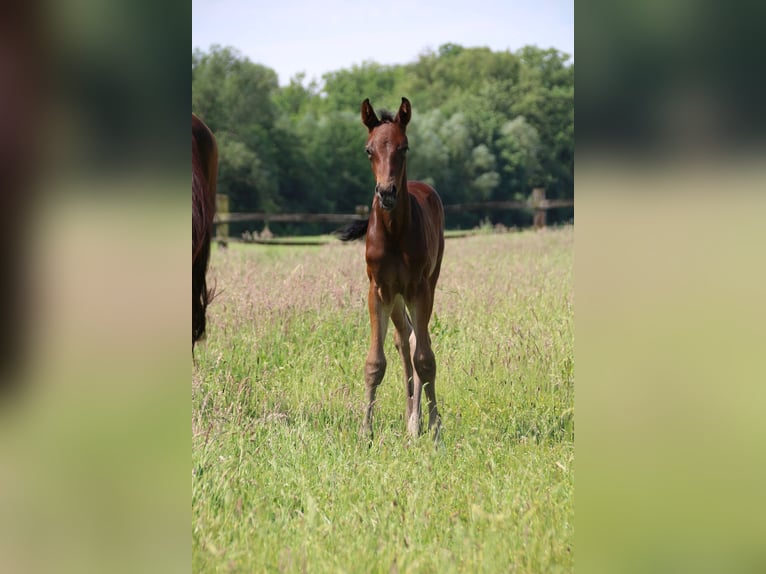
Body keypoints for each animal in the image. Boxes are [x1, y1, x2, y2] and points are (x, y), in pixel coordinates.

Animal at [340, 98, 448, 440]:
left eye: (404, 147)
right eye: (368, 149)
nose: (386, 193)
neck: (394, 233)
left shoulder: (419, 288)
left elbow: (425, 359)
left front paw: (435, 428)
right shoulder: (379, 290)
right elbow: (375, 362)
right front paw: (365, 431)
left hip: (426, 283)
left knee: (416, 343)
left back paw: (418, 423)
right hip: (397, 297)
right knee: (404, 339)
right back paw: (410, 418)